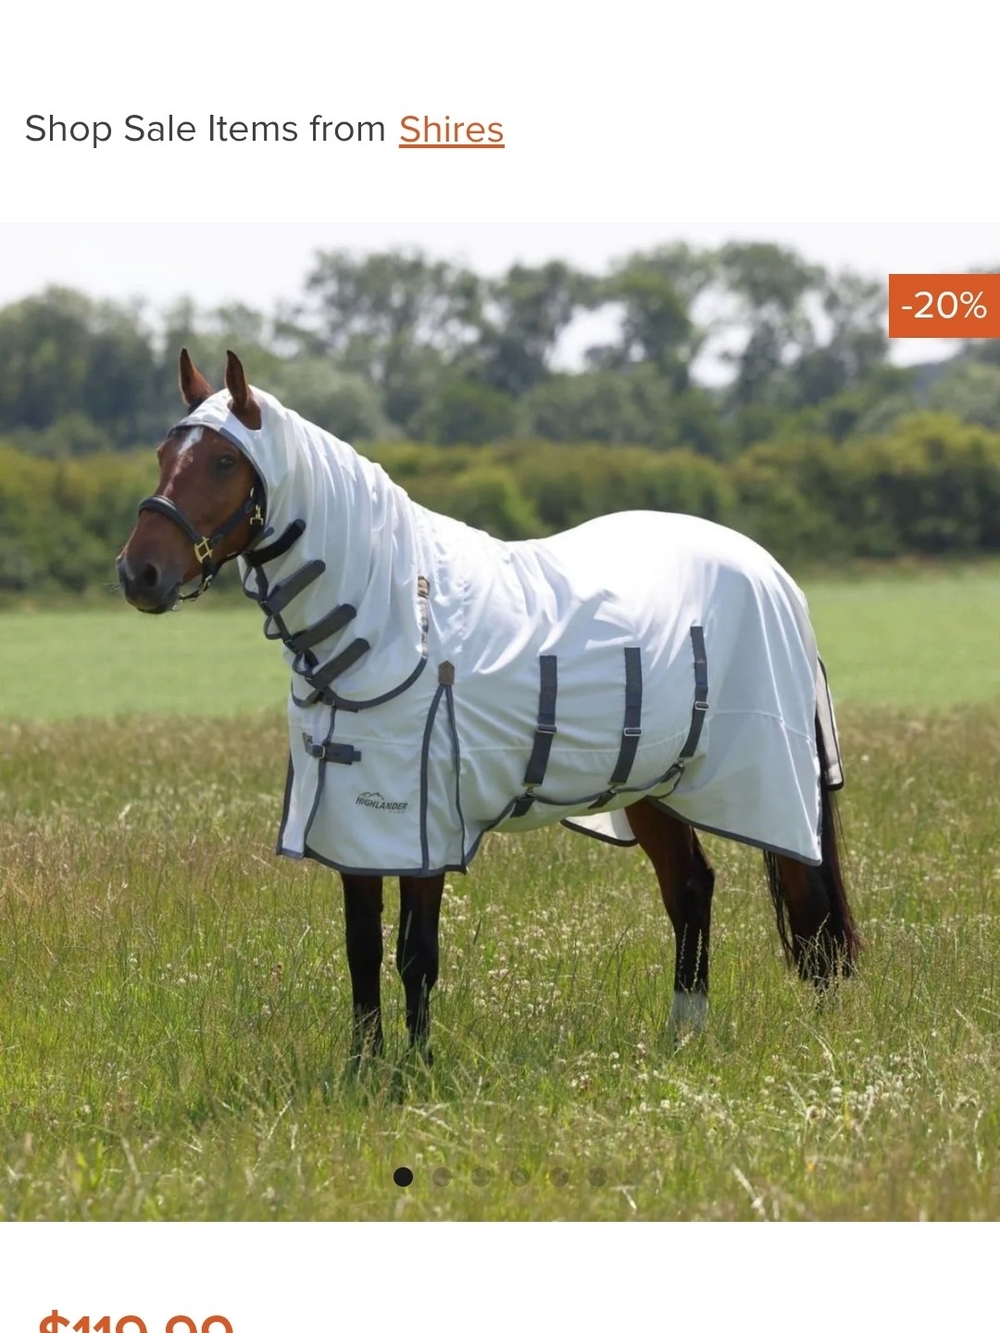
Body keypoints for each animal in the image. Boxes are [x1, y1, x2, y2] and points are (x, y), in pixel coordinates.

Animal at [117, 349, 860, 1066]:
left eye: (222, 461)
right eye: (162, 453)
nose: (138, 574)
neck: (396, 620)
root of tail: (771, 571)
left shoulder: (425, 825)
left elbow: (415, 954)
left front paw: (414, 1073)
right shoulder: (354, 826)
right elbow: (361, 950)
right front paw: (362, 1070)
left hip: (776, 782)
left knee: (812, 912)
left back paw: (824, 1041)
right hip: (653, 784)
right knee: (691, 887)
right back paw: (684, 1036)